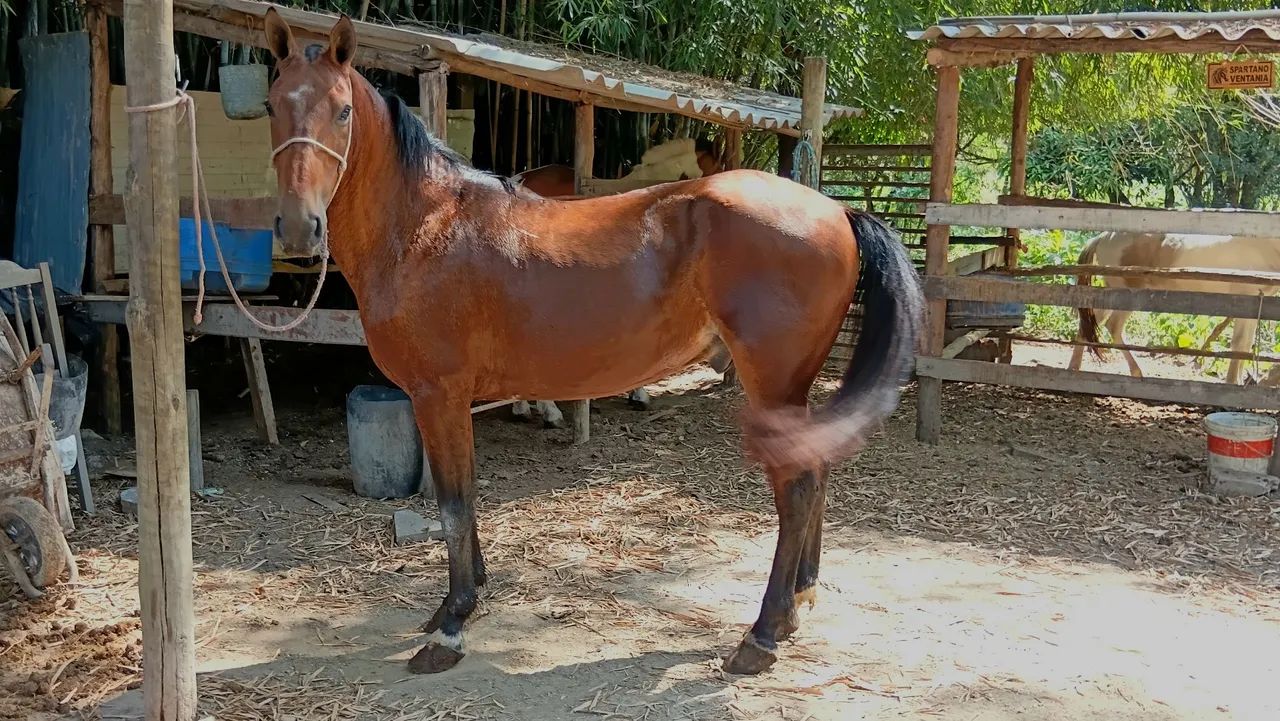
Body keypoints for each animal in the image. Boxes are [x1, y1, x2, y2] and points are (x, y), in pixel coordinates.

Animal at [263, 9, 923, 676]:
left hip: (773, 385)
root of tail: (836, 211)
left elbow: (452, 504)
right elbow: (467, 499)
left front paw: (451, 624)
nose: (297, 228)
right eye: (270, 104)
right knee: (816, 468)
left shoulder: (437, 396)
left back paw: (763, 632)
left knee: (797, 487)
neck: (427, 227)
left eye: (343, 110)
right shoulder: (451, 402)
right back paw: (799, 601)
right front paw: (466, 600)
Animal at [1070, 230, 1280, 383]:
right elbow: (1239, 344)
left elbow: (1245, 345)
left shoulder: (1254, 304)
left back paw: (1075, 368)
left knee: (1093, 322)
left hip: (1113, 293)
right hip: (1126, 294)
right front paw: (1232, 385)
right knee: (1111, 326)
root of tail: (1103, 237)